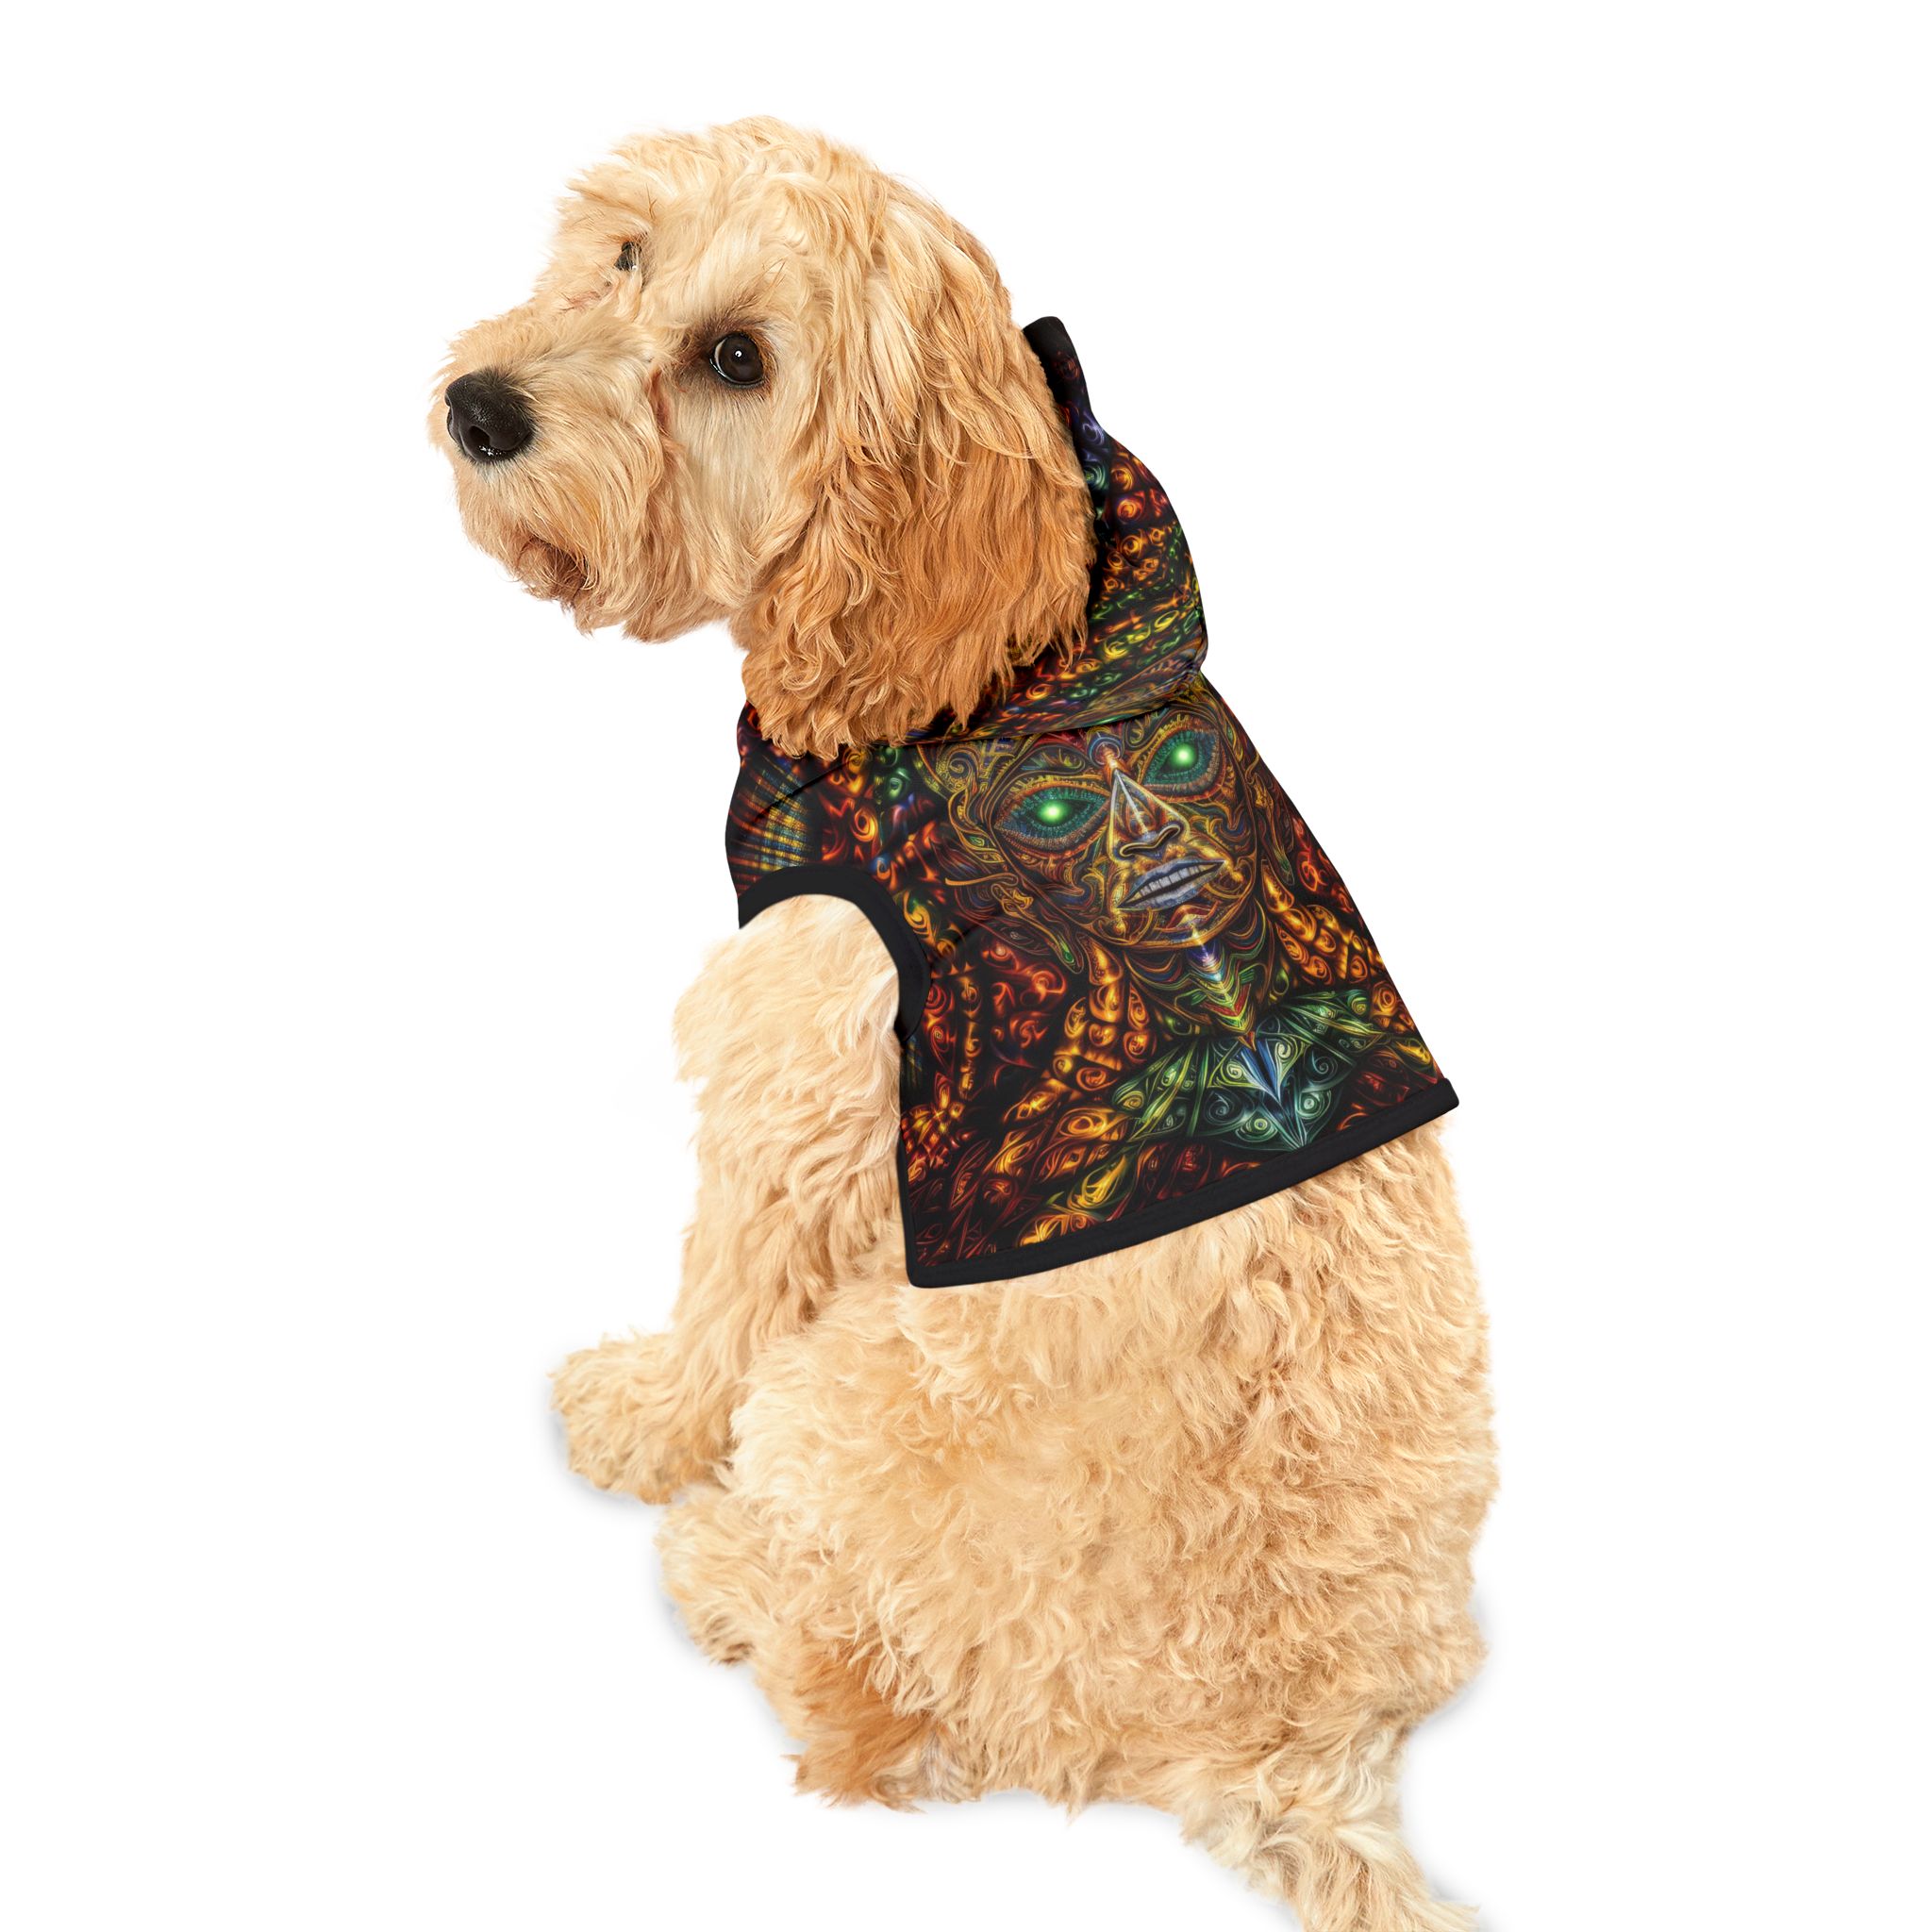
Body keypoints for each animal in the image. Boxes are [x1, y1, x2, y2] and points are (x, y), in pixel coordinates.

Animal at [435, 118, 1494, 1931]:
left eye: (739, 360)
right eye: (626, 254)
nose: (481, 408)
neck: (997, 655)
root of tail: (1295, 1747)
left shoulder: (800, 1076)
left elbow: (723, 1292)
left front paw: (645, 1422)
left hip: (852, 1397)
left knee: (867, 1717)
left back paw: (727, 1570)